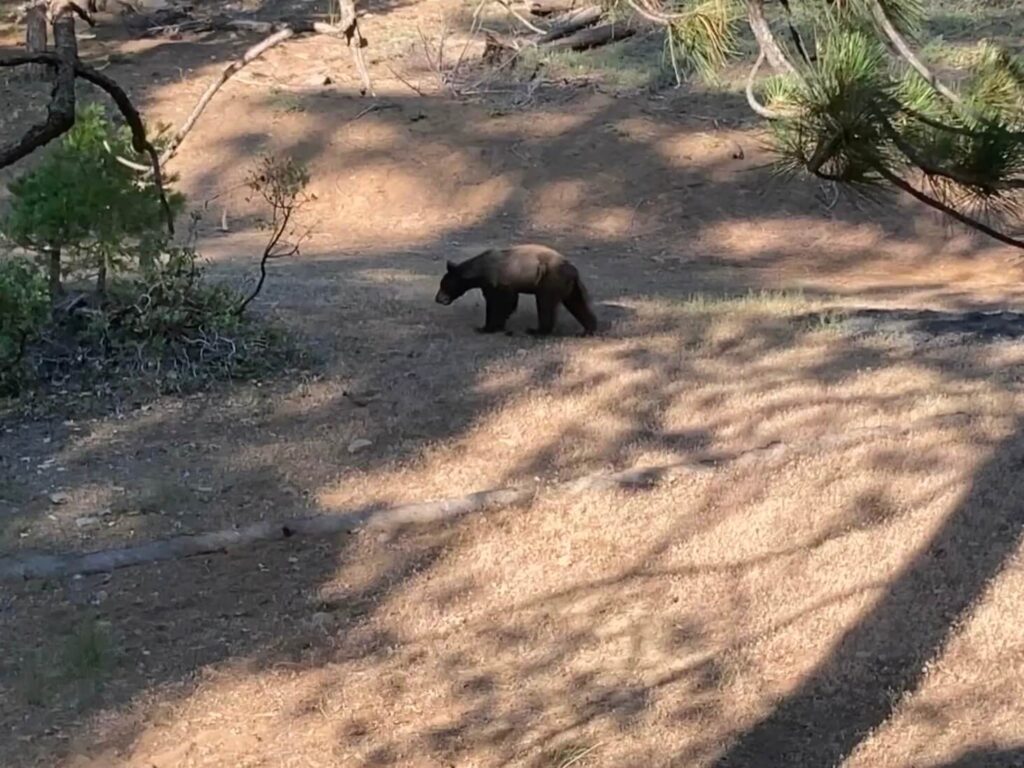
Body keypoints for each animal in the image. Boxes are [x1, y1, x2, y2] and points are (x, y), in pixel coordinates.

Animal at [434, 243, 598, 333]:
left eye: (443, 285)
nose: (437, 299)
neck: (481, 270)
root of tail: (573, 270)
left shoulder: (498, 281)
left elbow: (500, 303)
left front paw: (486, 327)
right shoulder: (494, 283)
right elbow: (505, 302)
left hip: (549, 279)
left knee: (545, 304)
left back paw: (537, 331)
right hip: (569, 287)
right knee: (577, 304)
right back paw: (588, 329)